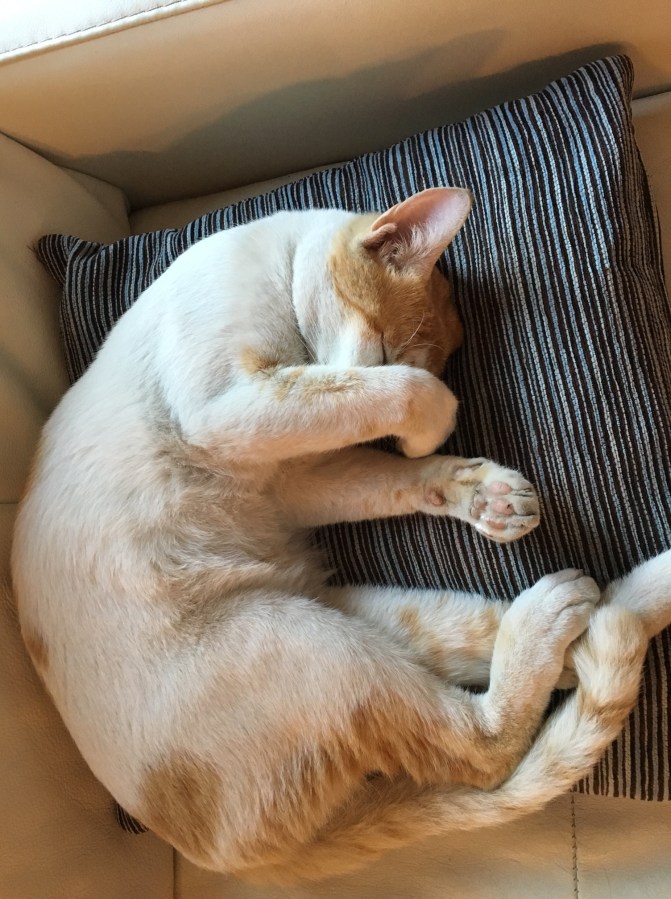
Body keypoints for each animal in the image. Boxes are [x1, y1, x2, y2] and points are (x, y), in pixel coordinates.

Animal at [11, 187, 671, 884]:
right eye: (383, 349)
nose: (388, 440)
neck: (276, 266)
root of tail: (240, 857)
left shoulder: (296, 473)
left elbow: (387, 469)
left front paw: (473, 488)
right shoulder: (234, 409)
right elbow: (395, 393)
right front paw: (432, 423)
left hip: (358, 628)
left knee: (562, 639)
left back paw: (614, 595)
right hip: (318, 649)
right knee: (482, 744)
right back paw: (553, 622)